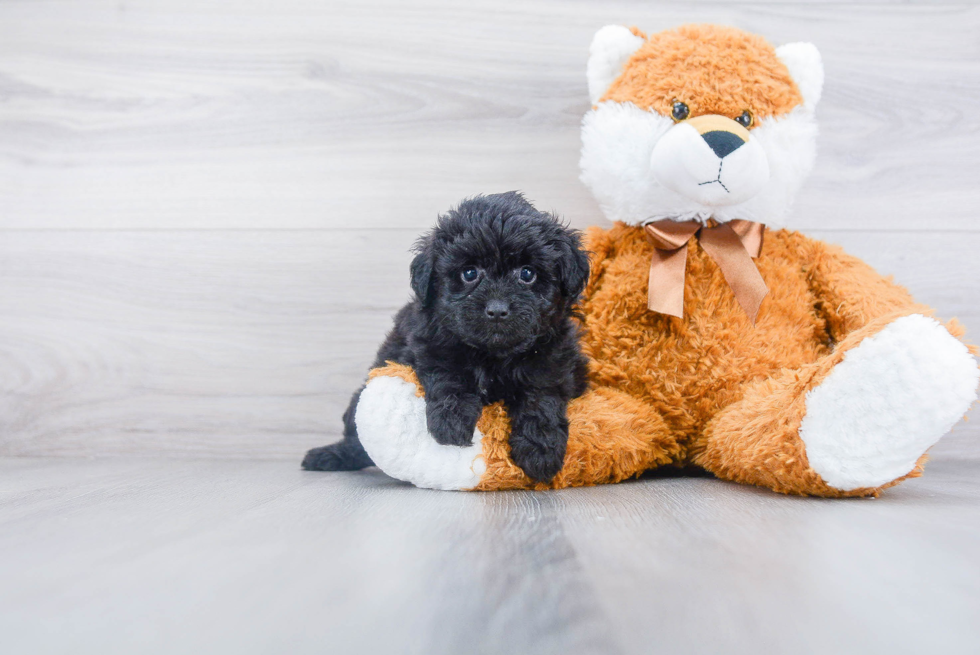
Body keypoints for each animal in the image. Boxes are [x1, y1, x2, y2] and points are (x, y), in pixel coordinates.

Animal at [298, 192, 588, 484]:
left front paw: (540, 451)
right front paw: (452, 424)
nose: (497, 310)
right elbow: (449, 376)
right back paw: (328, 456)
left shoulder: (551, 360)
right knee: (356, 438)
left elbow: (540, 398)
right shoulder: (430, 344)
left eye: (527, 274)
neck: (492, 355)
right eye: (469, 273)